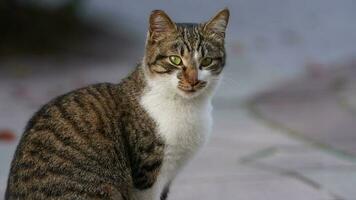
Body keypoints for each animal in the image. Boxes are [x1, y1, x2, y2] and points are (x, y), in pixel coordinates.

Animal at [5, 8, 229, 200]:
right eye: (175, 60)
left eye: (206, 61)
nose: (193, 80)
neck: (187, 107)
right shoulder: (148, 174)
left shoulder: (169, 177)